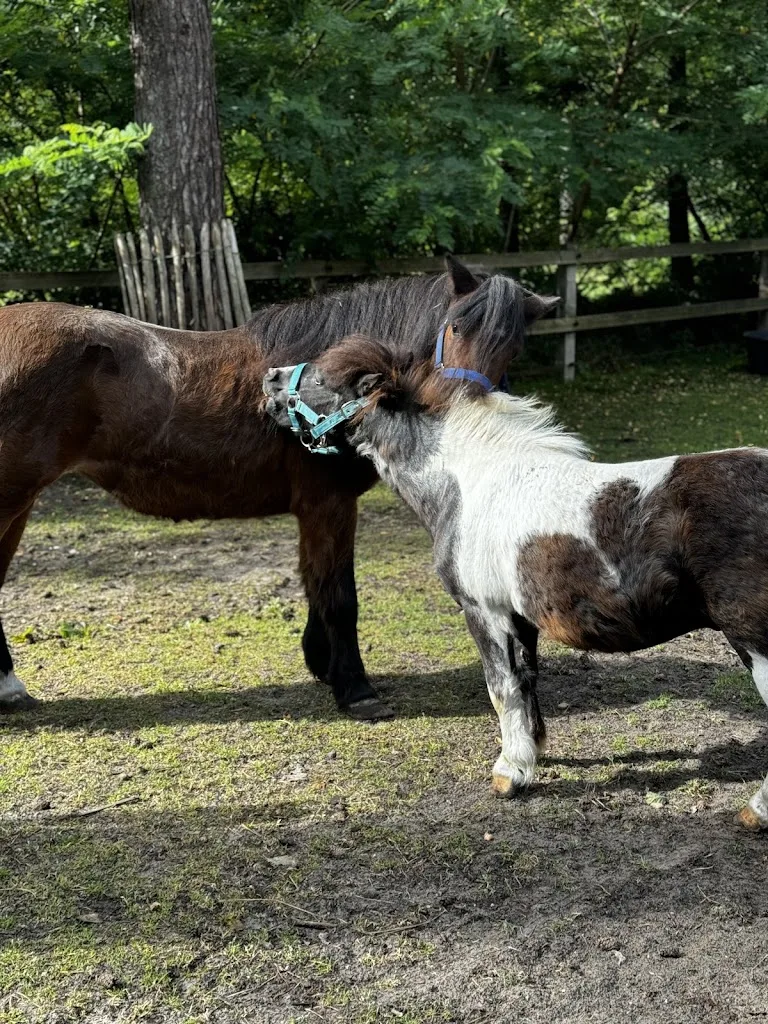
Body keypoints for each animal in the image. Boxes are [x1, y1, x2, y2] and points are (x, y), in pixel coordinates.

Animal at [0, 257, 558, 721]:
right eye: (456, 325)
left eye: (515, 345)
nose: (460, 402)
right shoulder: (329, 504)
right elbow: (339, 594)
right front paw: (355, 688)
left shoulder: (314, 510)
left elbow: (315, 582)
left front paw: (323, 664)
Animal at [263, 336, 768, 830]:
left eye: (323, 378)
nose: (269, 380)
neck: (468, 482)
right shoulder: (519, 617)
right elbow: (526, 682)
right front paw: (532, 755)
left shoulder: (483, 611)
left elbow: (500, 687)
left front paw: (509, 774)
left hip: (753, 641)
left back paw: (755, 812)